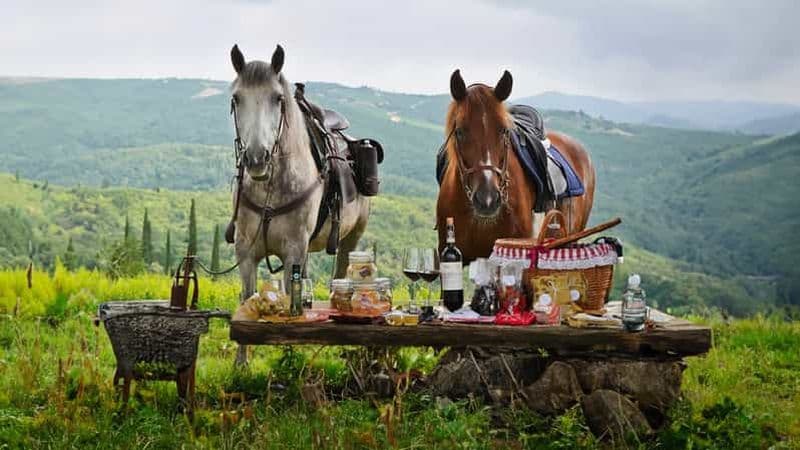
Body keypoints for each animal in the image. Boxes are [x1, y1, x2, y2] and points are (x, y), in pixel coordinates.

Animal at [228, 44, 371, 365]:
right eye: (237, 98)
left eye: (278, 98)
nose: (257, 158)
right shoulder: (246, 251)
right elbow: (248, 296)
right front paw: (242, 362)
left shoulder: (293, 248)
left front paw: (289, 352)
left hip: (352, 237)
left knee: (340, 272)